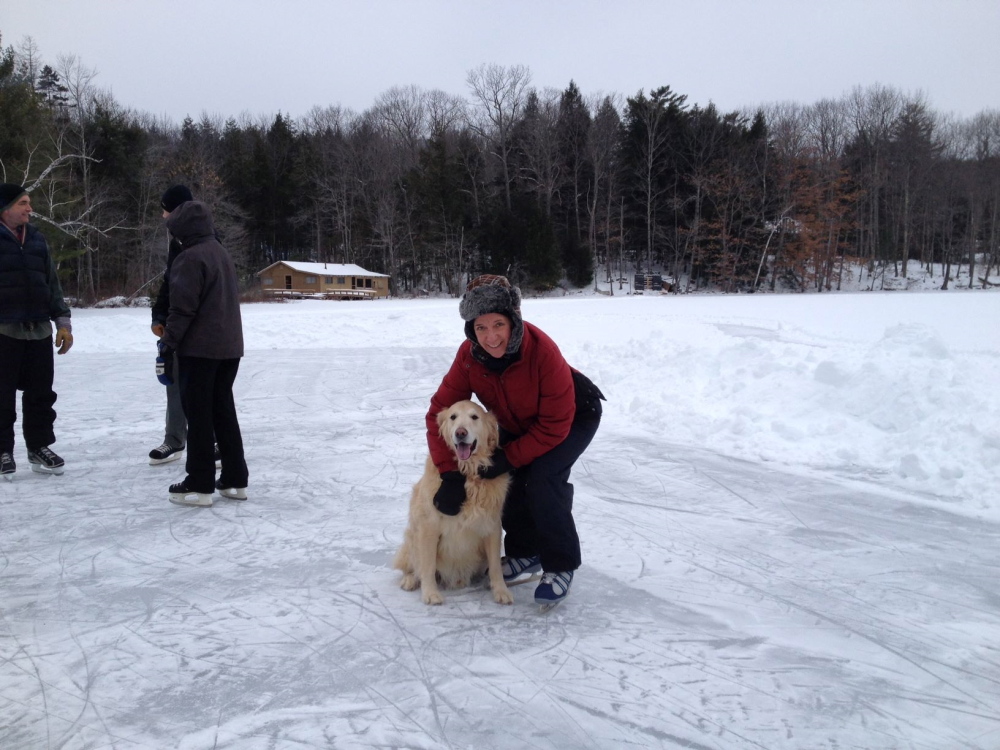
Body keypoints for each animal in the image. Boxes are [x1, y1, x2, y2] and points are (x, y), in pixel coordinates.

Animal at [392, 402, 516, 608]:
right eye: (453, 417)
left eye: (474, 417)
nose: (460, 433)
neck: (467, 474)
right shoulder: (429, 526)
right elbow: (427, 565)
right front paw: (431, 593)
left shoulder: (492, 526)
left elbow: (496, 567)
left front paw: (501, 591)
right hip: (412, 539)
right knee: (414, 566)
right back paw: (410, 580)